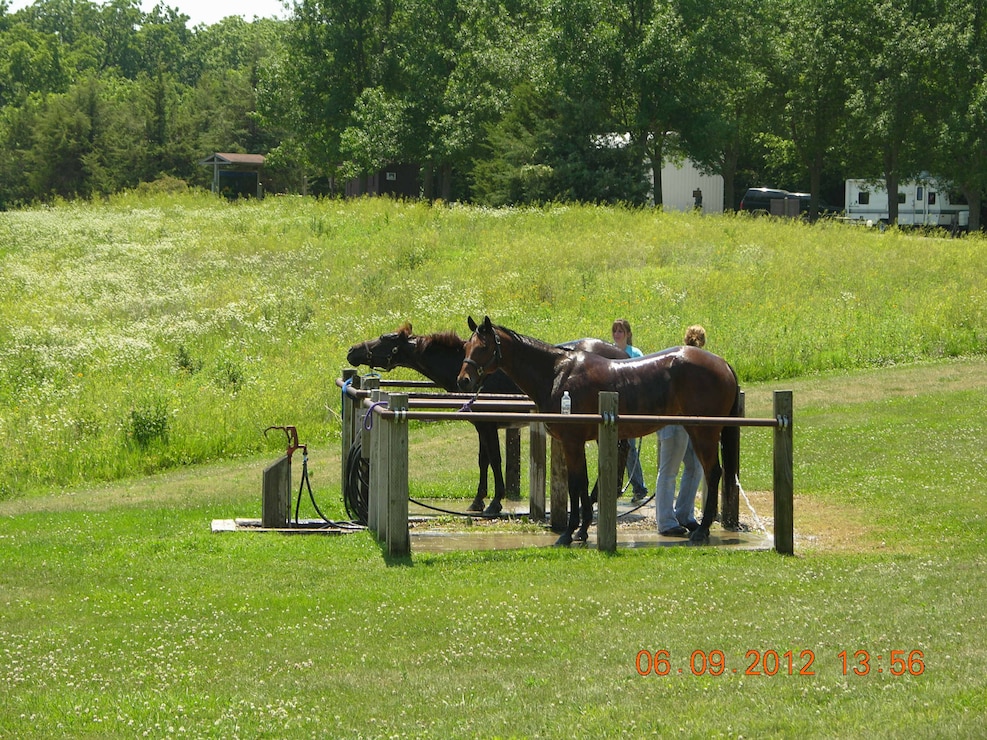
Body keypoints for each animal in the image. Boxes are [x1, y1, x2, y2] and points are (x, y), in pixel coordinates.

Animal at [458, 316, 740, 548]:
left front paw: (567, 534)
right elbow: (581, 485)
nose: (463, 380)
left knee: (714, 473)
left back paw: (701, 531)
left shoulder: (572, 442)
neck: (558, 373)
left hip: (704, 433)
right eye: (465, 347)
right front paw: (581, 531)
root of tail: (723, 363)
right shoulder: (578, 443)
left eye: (483, 347)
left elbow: (575, 486)